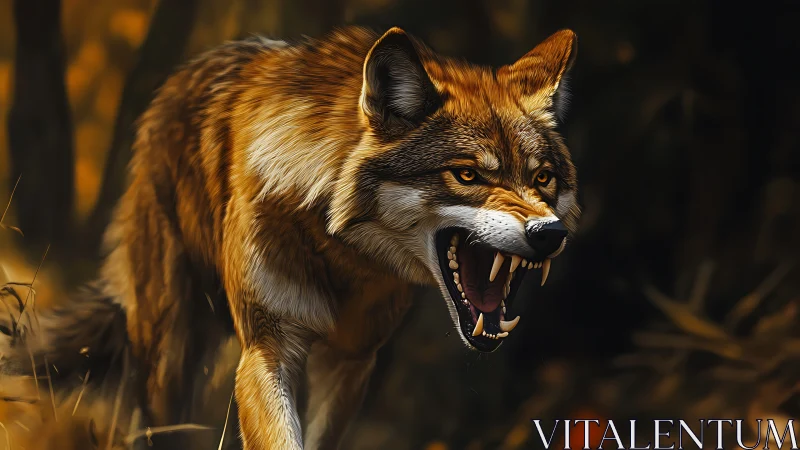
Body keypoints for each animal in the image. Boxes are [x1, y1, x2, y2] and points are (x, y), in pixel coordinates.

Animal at [1, 26, 580, 449]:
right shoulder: (267, 349)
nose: (548, 234)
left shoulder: (351, 362)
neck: (339, 254)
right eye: (467, 174)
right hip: (169, 351)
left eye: (543, 178)